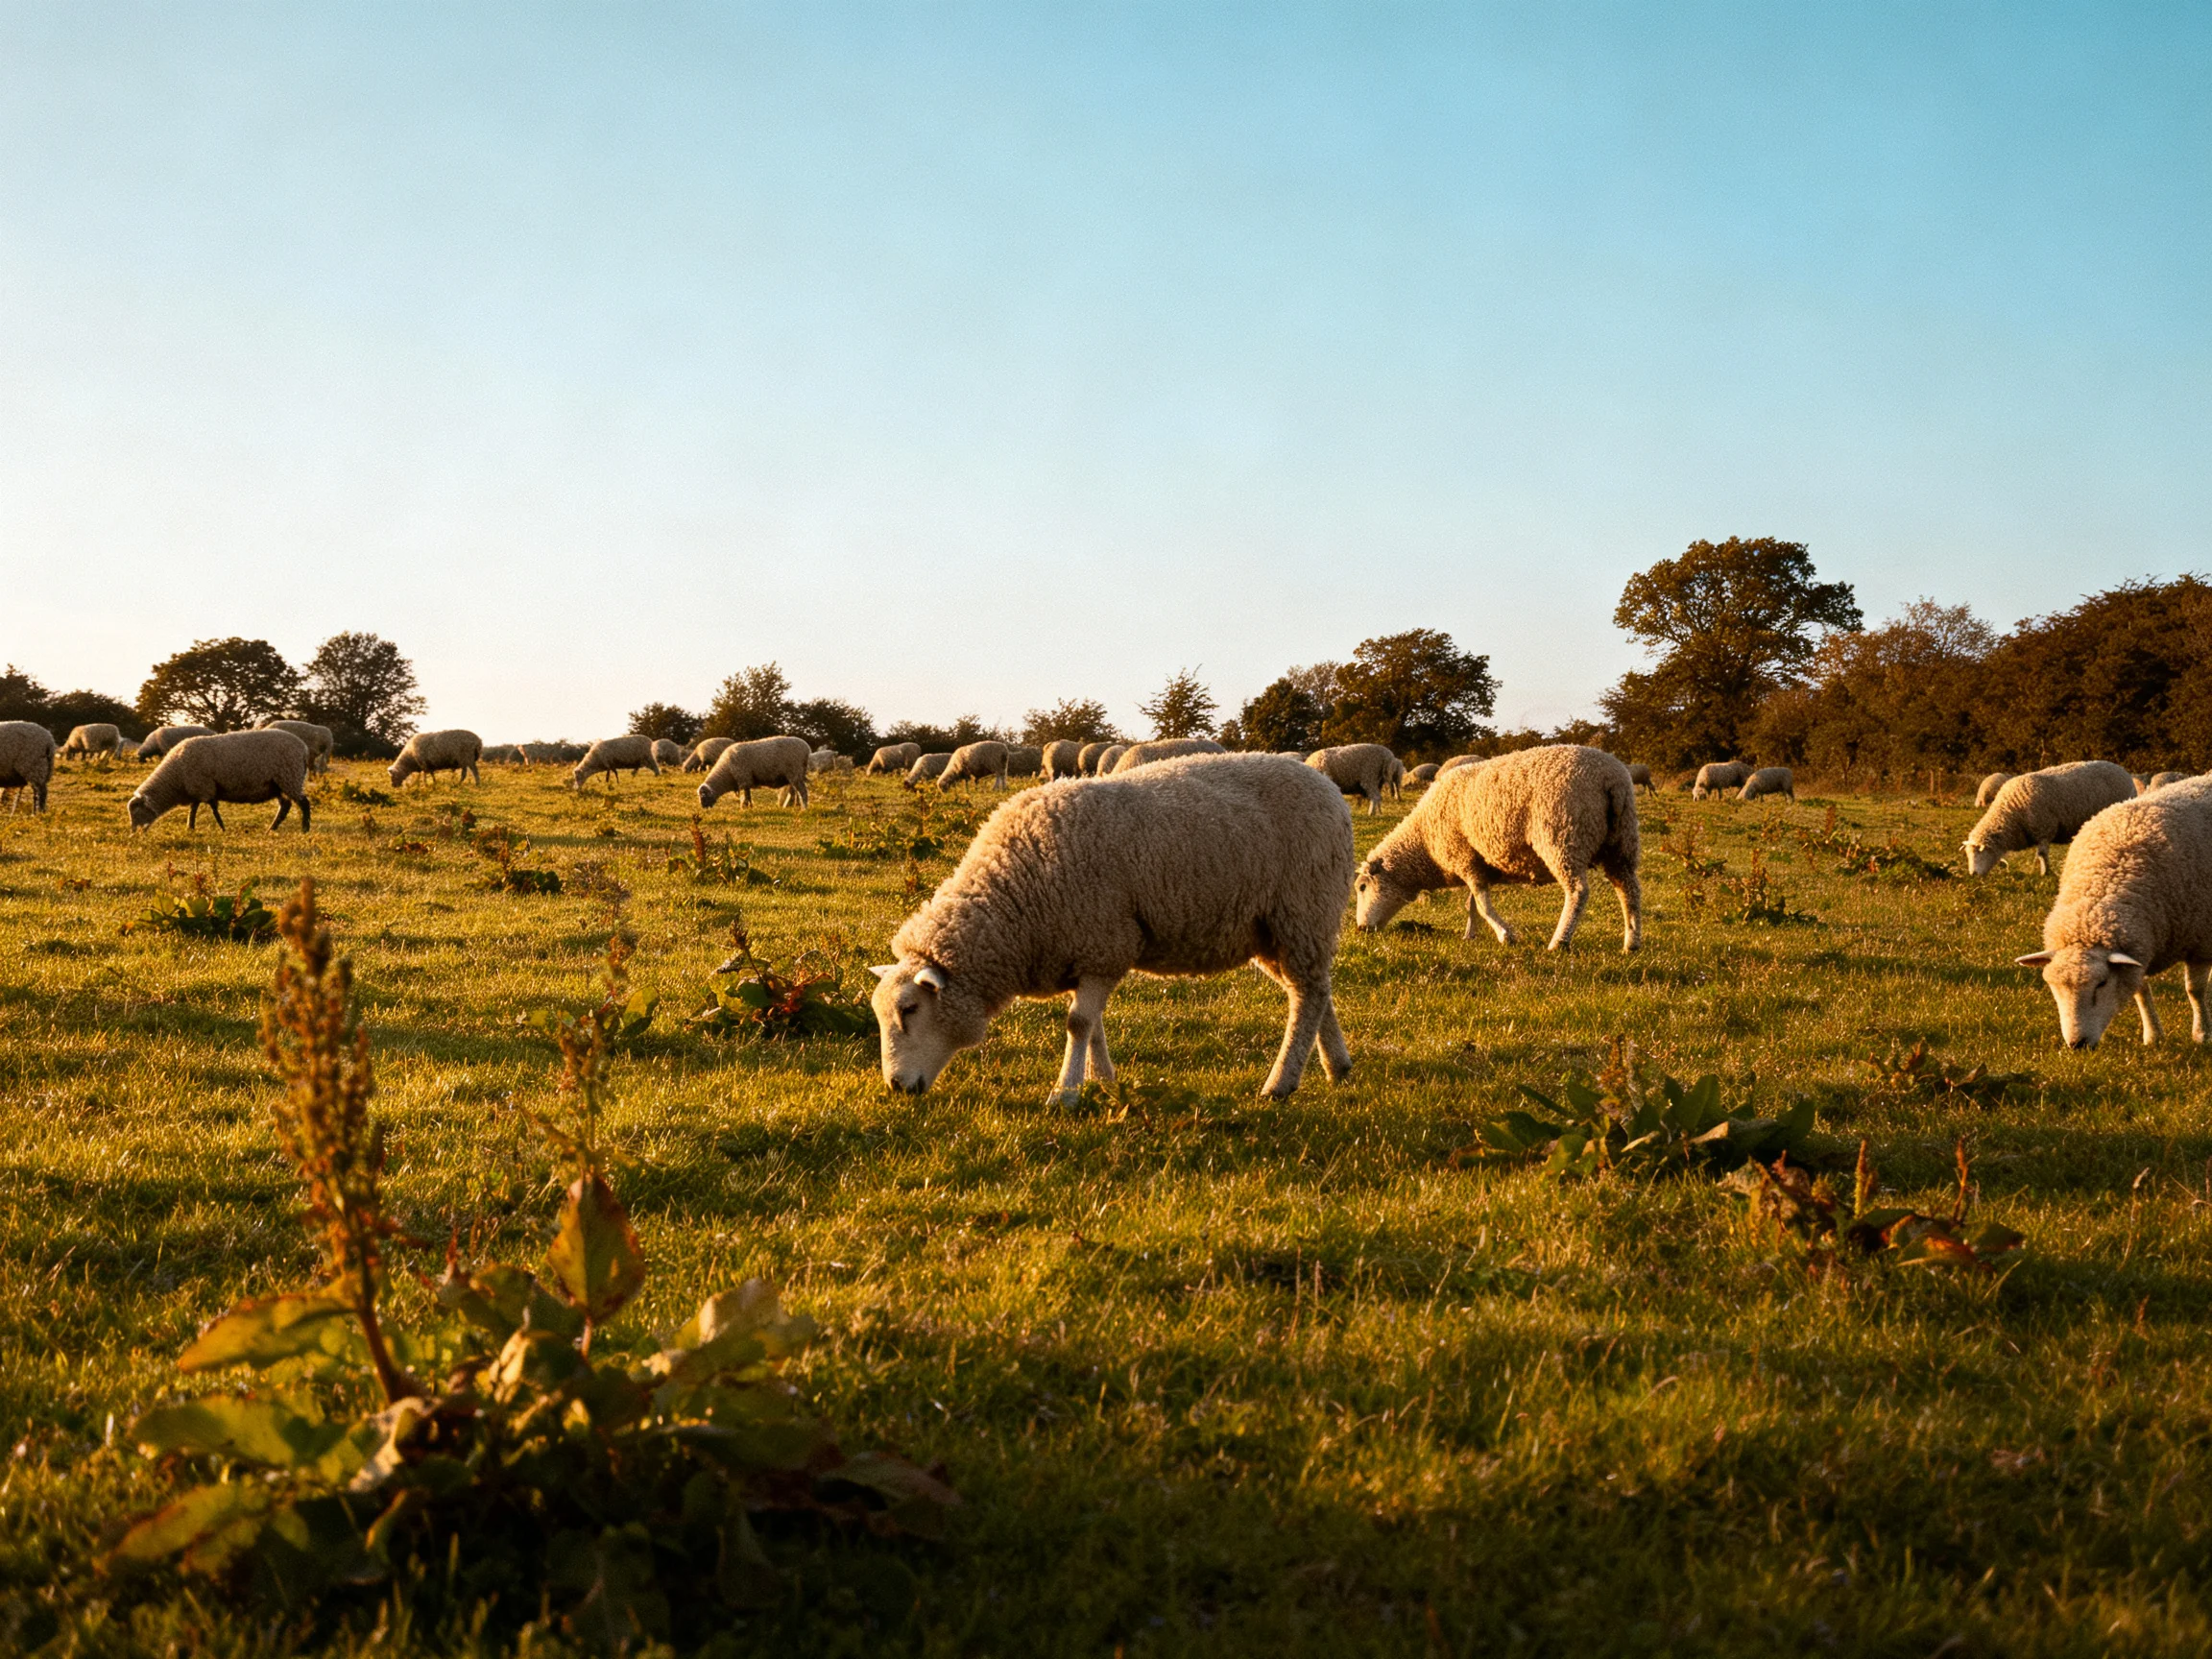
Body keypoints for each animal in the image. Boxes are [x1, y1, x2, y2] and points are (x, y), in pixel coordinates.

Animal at [128, 729, 311, 833]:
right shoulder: (197, 787)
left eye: (136, 812)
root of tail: (303, 749)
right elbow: (194, 808)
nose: (135, 833)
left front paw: (222, 828)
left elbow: (213, 809)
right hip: (278, 784)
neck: (174, 778)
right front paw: (191, 828)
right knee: (285, 806)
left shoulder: (205, 786)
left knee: (304, 803)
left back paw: (305, 829)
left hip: (289, 777)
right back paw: (271, 829)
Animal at [871, 753, 1355, 1104]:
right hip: (1274, 929)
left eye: (909, 1010)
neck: (1015, 899)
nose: (896, 1087)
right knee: (1312, 989)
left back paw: (1280, 1084)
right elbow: (1093, 1025)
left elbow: (1078, 1023)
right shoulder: (1085, 955)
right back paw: (1337, 1066)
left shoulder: (1105, 945)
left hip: (1303, 908)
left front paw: (1064, 1094)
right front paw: (1102, 1081)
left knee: (1308, 995)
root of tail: (1327, 786)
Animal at [1353, 744, 1641, 952]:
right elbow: (1472, 904)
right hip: (1621, 842)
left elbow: (1481, 905)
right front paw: (1470, 935)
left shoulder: (1464, 859)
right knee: (1629, 891)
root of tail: (1611, 778)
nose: (1361, 929)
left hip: (1562, 838)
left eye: (1362, 887)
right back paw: (1631, 943)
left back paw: (1559, 942)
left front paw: (1506, 935)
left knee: (1578, 892)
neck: (1423, 841)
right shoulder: (1476, 862)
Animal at [1963, 760, 2136, 876]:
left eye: (1980, 853)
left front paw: (2045, 873)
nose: (1973, 874)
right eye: (1968, 854)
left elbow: (2042, 854)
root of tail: (2122, 771)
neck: (2010, 812)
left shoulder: (2044, 829)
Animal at [2015, 778, 2212, 1048]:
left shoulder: (2200, 942)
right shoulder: (2136, 952)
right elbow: (2141, 992)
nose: (2077, 1044)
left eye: (2102, 983)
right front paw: (2153, 1036)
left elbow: (2195, 991)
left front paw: (2202, 1034)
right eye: (2054, 987)